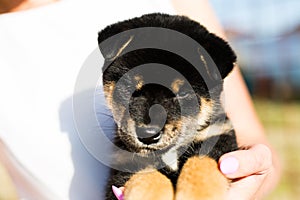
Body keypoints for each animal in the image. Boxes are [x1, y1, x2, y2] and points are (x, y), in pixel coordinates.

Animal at [98, 13, 239, 199]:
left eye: (183, 93)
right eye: (129, 86)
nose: (148, 135)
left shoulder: (218, 135)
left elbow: (201, 164)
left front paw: (197, 194)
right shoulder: (124, 165)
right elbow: (147, 178)